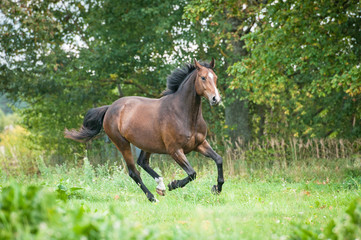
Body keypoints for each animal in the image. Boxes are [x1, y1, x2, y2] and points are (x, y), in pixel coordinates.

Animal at [64, 59, 222, 202]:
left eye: (215, 77)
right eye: (203, 77)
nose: (216, 99)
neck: (183, 114)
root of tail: (109, 108)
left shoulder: (200, 144)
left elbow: (218, 159)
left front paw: (216, 189)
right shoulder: (175, 150)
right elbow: (192, 173)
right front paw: (173, 184)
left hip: (148, 144)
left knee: (142, 163)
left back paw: (160, 186)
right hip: (122, 144)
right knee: (134, 172)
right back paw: (153, 197)